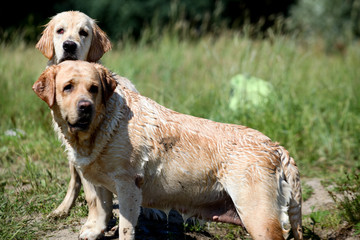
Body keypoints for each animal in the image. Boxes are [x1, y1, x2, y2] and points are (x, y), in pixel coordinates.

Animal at [33, 60, 304, 240]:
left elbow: (126, 226)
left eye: (94, 89)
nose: (85, 107)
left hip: (259, 217)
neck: (102, 126)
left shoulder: (128, 184)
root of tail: (277, 148)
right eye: (68, 87)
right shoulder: (99, 182)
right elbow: (100, 208)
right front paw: (94, 230)